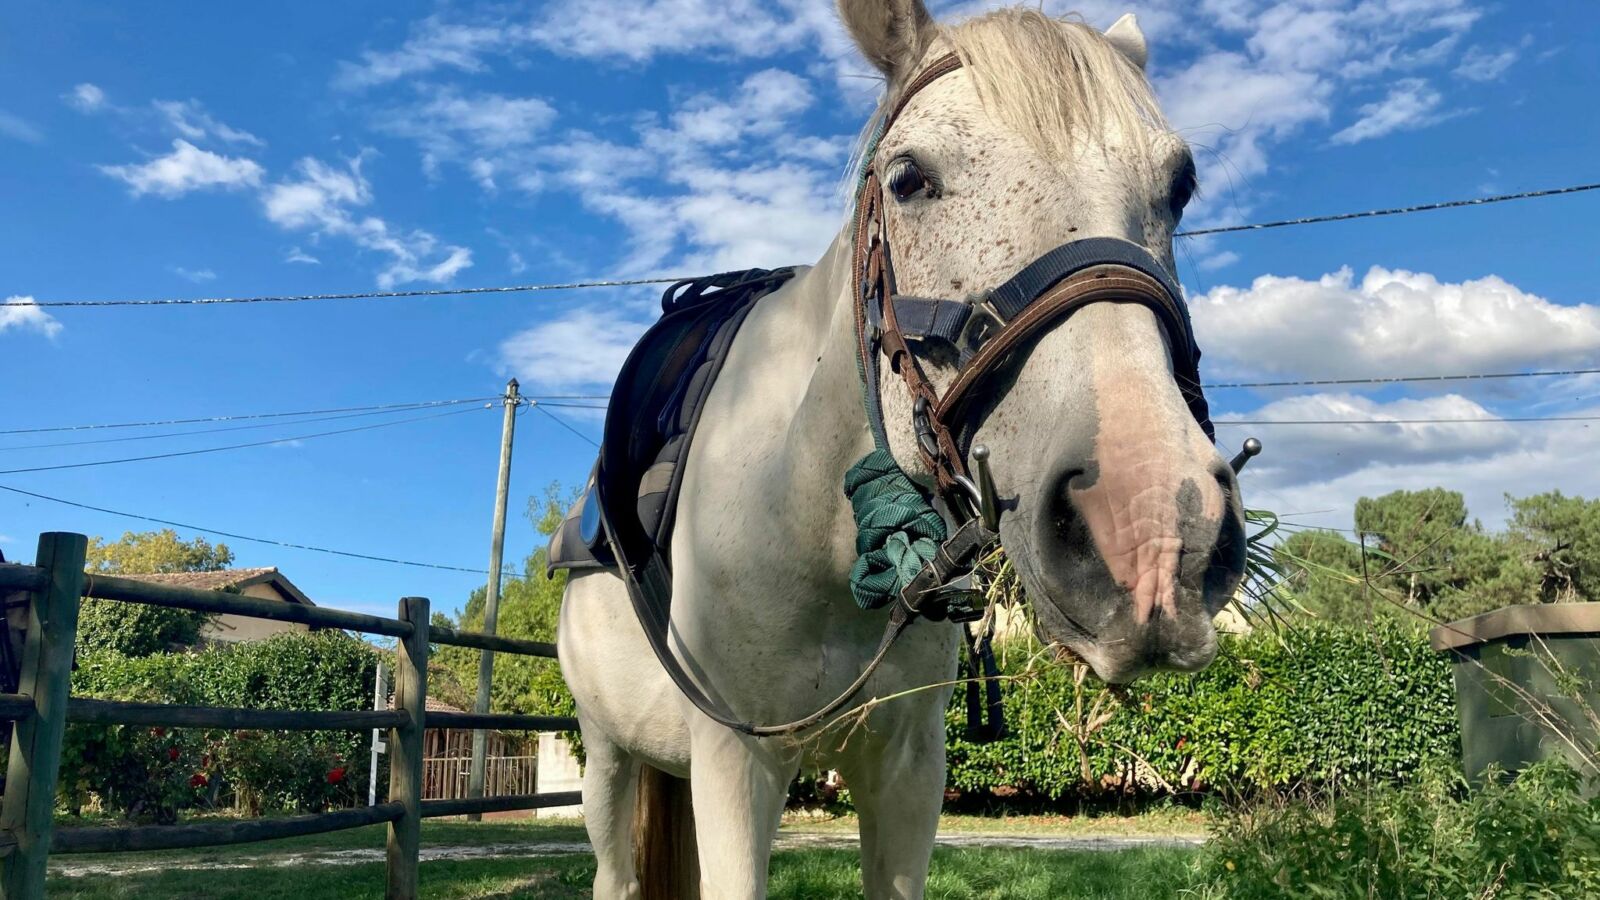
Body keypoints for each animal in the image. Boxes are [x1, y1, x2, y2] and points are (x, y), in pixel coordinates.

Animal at [556, 2, 1247, 897]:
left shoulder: (909, 768)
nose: (1153, 530)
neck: (810, 525)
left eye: (1180, 185)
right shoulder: (734, 763)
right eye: (909, 178)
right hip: (608, 756)